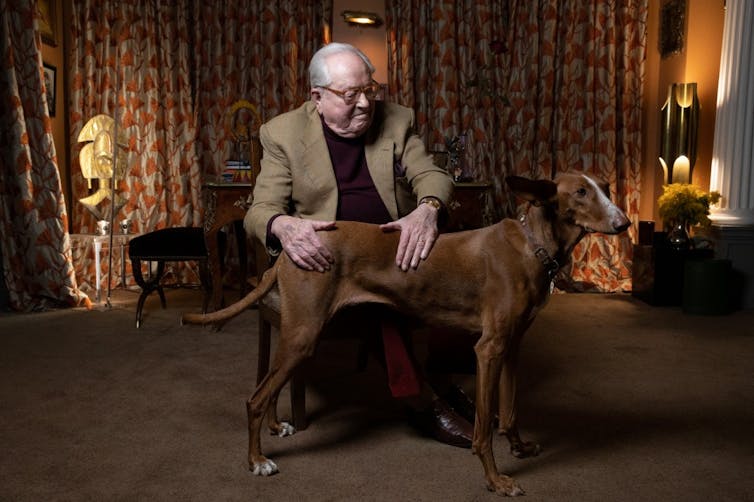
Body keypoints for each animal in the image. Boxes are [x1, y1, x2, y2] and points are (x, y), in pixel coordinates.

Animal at [182, 172, 630, 496]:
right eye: (580, 193)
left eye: (606, 188)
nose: (624, 222)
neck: (533, 244)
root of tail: (290, 247)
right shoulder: (489, 349)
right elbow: (484, 429)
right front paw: (494, 479)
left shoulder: (512, 345)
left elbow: (510, 411)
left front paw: (519, 448)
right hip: (304, 335)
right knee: (255, 399)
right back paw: (257, 460)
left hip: (296, 334)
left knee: (268, 387)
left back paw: (277, 427)